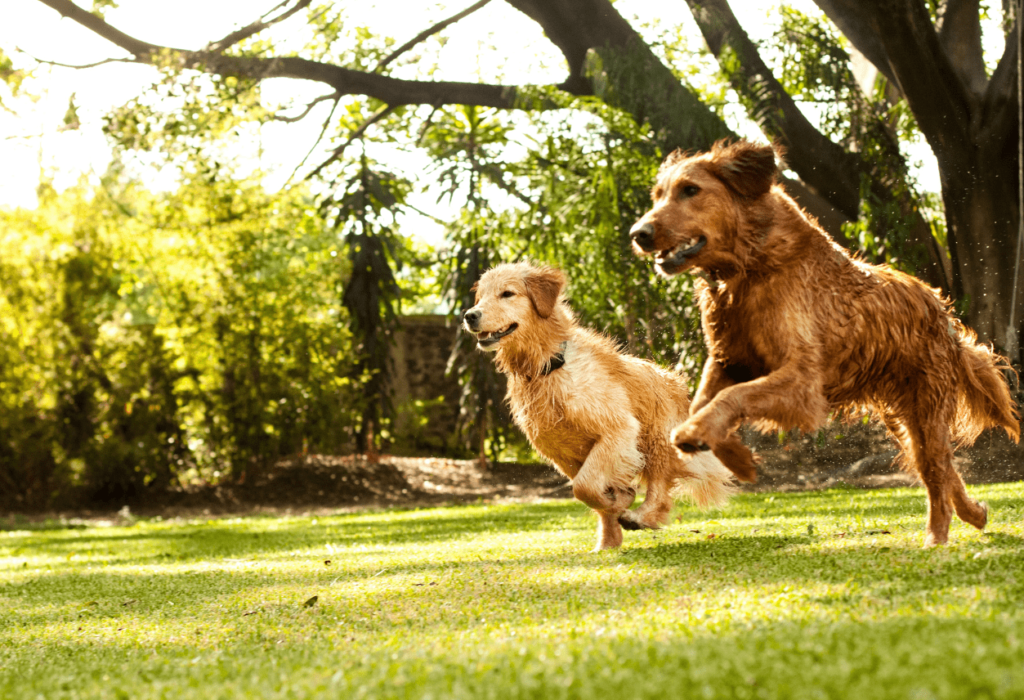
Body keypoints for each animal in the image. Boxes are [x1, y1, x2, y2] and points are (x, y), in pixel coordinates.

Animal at [460, 261, 741, 552]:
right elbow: (588, 492)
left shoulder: (618, 429)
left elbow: (584, 487)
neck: (547, 367)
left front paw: (618, 502)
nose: (469, 315)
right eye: (480, 296)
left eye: (507, 293)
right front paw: (611, 527)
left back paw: (640, 517)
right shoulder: (563, 455)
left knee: (660, 488)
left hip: (658, 439)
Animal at [626, 139, 1019, 544]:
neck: (752, 267)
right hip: (905, 420)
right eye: (658, 195)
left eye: (690, 190)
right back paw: (974, 513)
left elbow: (731, 398)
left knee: (938, 470)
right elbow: (705, 402)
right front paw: (736, 456)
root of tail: (942, 309)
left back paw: (936, 537)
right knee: (938, 468)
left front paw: (695, 434)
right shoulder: (729, 360)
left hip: (927, 405)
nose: (638, 233)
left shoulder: (802, 380)